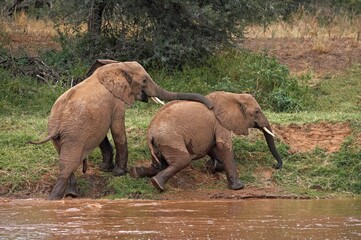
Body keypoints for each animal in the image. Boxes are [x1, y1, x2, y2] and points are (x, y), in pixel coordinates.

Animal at [31, 60, 212, 201]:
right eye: (144, 80)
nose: (210, 106)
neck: (117, 66)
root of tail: (57, 123)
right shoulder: (116, 102)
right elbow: (118, 131)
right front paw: (119, 173)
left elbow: (102, 135)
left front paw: (107, 169)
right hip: (73, 135)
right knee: (68, 163)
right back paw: (55, 199)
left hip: (61, 135)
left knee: (64, 159)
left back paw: (71, 195)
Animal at [129, 91, 282, 192]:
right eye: (257, 111)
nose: (275, 165)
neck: (233, 96)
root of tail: (150, 133)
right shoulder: (220, 123)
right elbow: (223, 146)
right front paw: (239, 187)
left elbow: (213, 148)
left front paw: (211, 167)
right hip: (170, 139)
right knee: (183, 160)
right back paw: (157, 184)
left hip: (160, 143)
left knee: (159, 164)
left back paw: (135, 173)